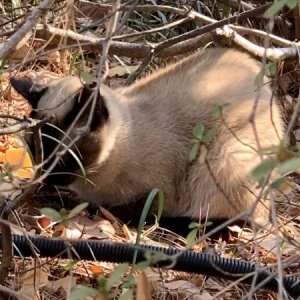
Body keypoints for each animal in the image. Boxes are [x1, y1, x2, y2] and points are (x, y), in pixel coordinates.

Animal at [10, 48, 284, 224]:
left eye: (64, 157)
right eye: (36, 151)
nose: (47, 178)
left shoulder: (156, 194)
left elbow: (123, 210)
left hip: (223, 158)